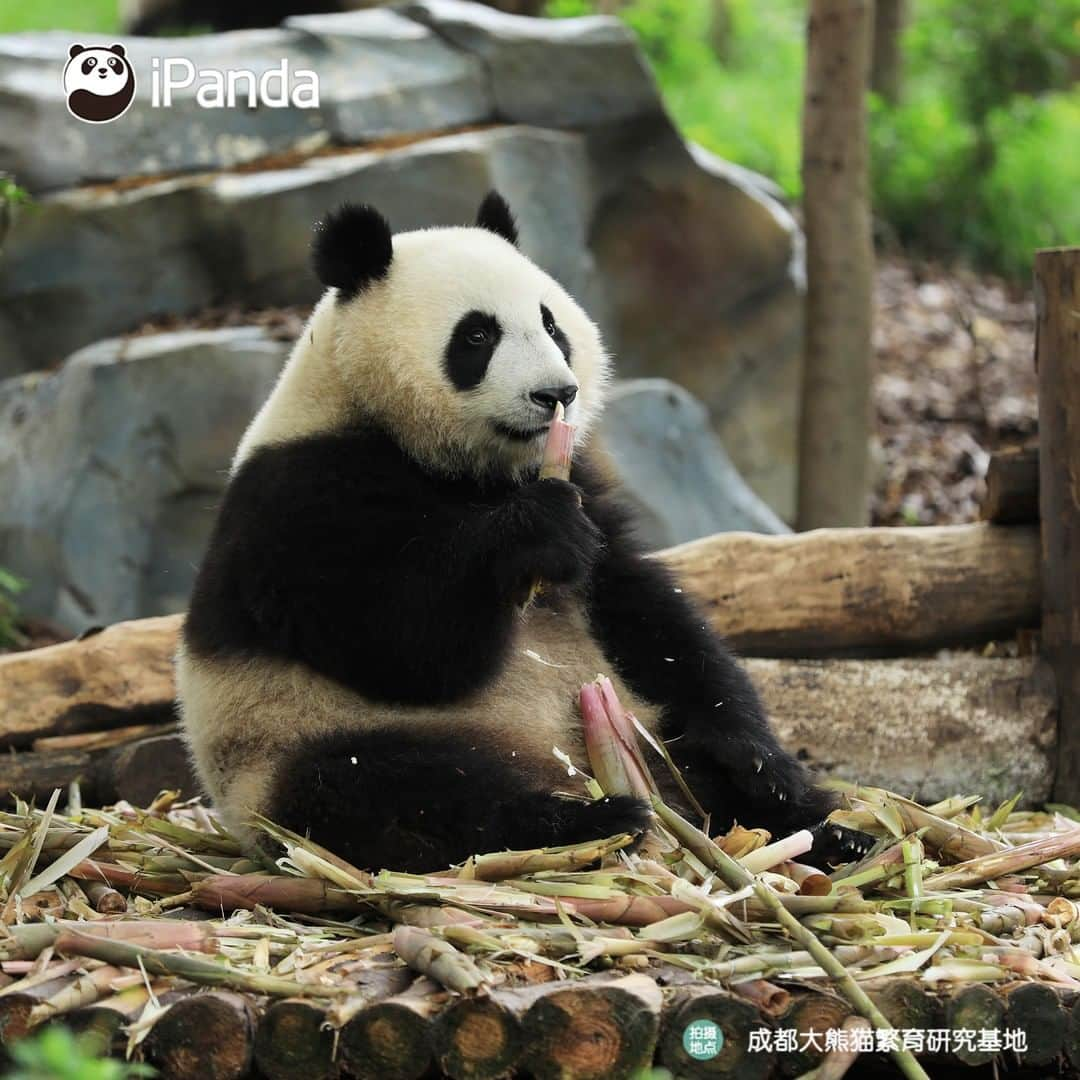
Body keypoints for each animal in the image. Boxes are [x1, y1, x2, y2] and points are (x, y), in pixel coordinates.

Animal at [179, 192, 859, 868]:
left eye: (551, 323)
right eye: (477, 334)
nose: (556, 393)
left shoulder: (586, 486)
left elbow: (644, 611)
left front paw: (754, 753)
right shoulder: (300, 498)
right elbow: (399, 640)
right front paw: (535, 533)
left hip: (644, 731)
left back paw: (828, 830)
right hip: (292, 743)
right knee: (398, 792)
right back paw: (589, 821)